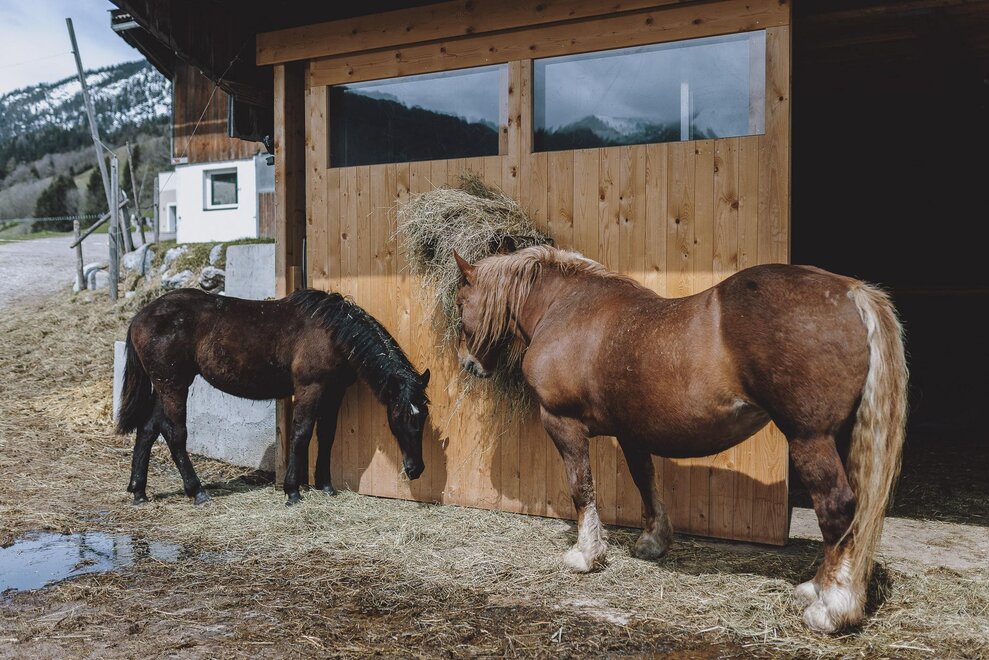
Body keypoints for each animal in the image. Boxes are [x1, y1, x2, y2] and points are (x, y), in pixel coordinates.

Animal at [116, 288, 430, 506]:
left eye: (423, 416)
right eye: (399, 415)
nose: (416, 469)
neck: (332, 334)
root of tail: (140, 317)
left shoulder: (334, 391)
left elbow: (326, 435)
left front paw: (326, 486)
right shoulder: (309, 387)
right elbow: (302, 434)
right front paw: (292, 491)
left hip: (166, 386)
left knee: (148, 430)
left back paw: (139, 491)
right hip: (174, 386)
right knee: (175, 435)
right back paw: (197, 492)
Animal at [451, 246, 906, 633]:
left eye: (459, 303)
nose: (469, 364)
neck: (565, 307)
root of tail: (851, 292)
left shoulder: (563, 424)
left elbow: (582, 489)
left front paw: (585, 555)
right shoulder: (632, 433)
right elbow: (646, 483)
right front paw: (653, 543)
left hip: (810, 438)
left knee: (837, 510)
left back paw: (831, 608)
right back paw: (815, 588)